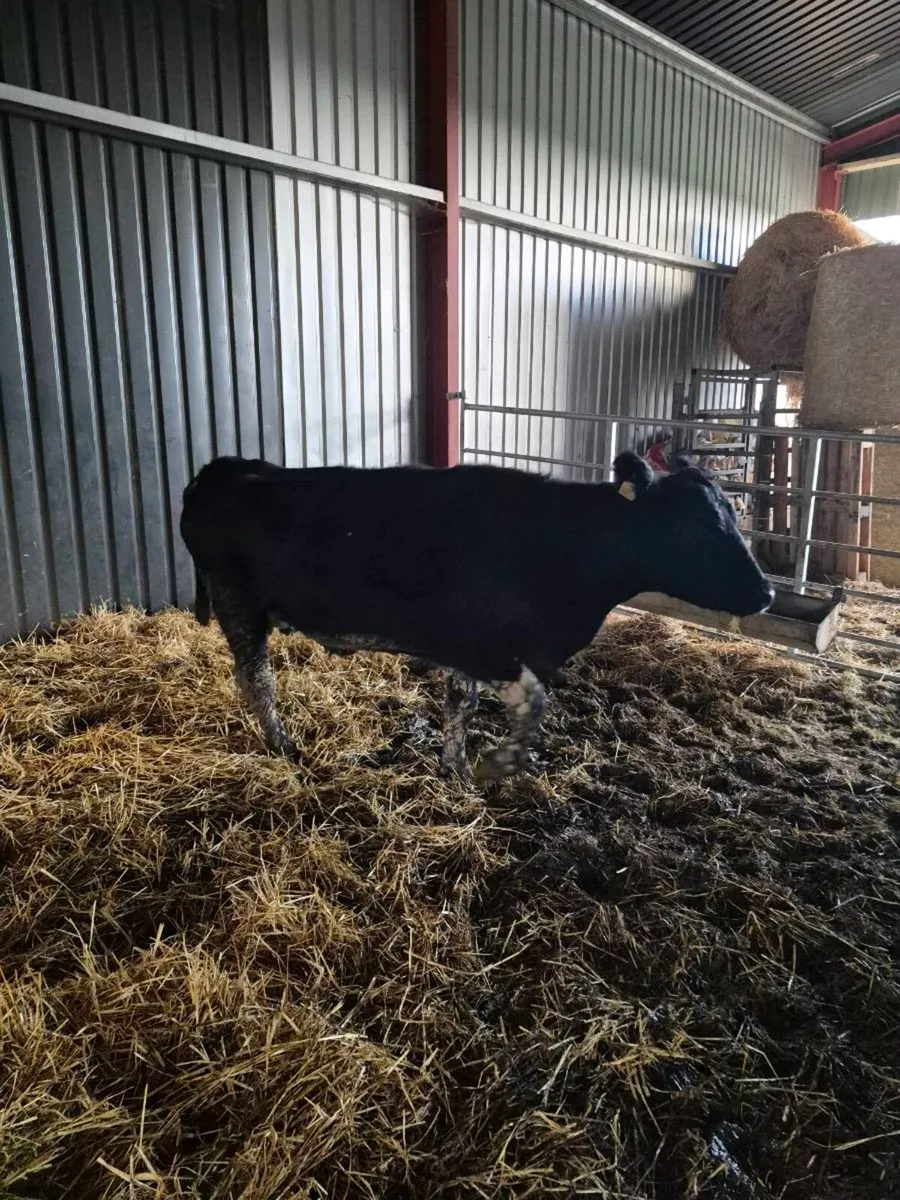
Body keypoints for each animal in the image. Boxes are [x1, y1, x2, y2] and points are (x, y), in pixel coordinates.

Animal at [179, 451, 773, 780]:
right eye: (694, 525)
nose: (767, 591)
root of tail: (224, 469)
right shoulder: (485, 646)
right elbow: (532, 703)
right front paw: (496, 765)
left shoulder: (468, 647)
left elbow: (459, 705)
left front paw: (457, 769)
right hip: (238, 600)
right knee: (256, 679)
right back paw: (282, 746)